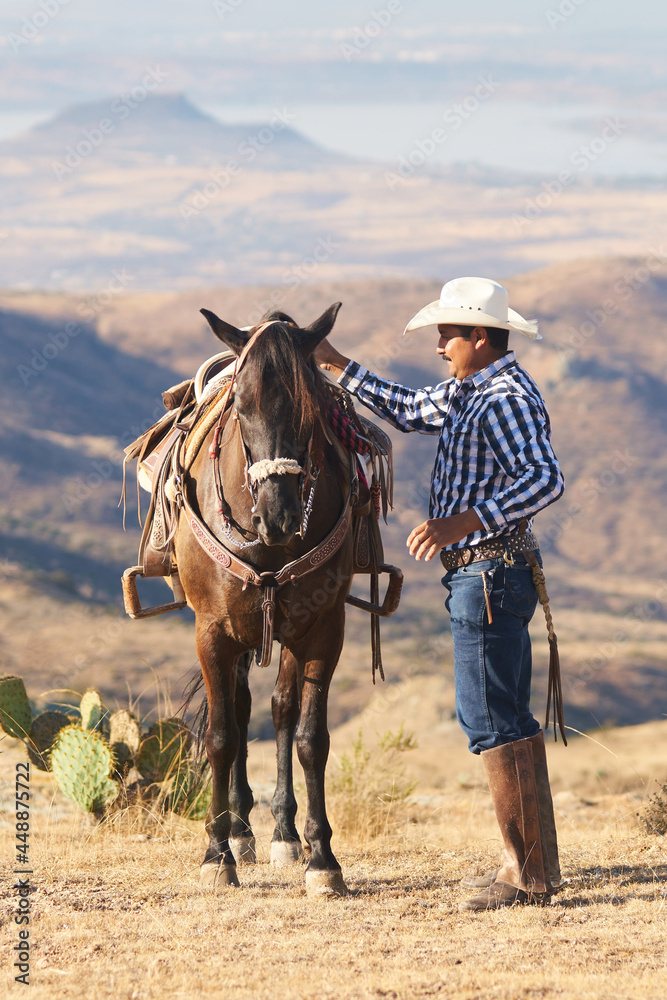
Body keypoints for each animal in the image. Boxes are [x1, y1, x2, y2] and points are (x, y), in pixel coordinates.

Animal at [174, 303, 355, 896]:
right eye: (240, 403)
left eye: (311, 408)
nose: (277, 515)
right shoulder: (212, 631)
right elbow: (221, 735)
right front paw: (216, 854)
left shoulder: (323, 630)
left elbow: (310, 738)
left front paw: (323, 859)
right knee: (237, 709)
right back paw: (238, 830)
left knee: (277, 711)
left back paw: (282, 834)